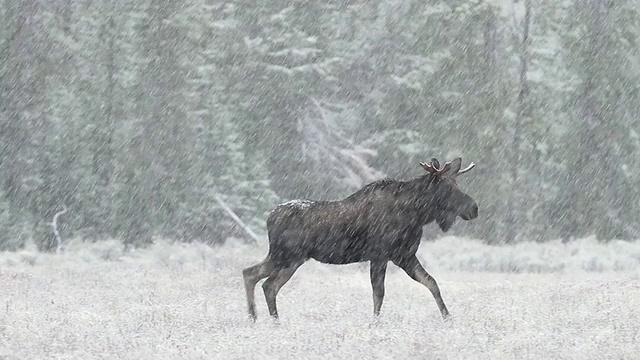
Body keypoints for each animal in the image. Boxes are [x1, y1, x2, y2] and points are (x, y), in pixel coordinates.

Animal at [242, 158, 478, 320]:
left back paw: (259, 319)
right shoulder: (381, 255)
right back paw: (267, 320)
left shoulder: (405, 255)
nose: (474, 208)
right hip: (287, 256)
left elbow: (431, 282)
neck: (417, 215)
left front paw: (448, 317)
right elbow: (379, 292)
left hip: (288, 258)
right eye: (448, 187)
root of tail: (270, 217)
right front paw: (374, 323)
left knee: (256, 277)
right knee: (262, 281)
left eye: (456, 184)